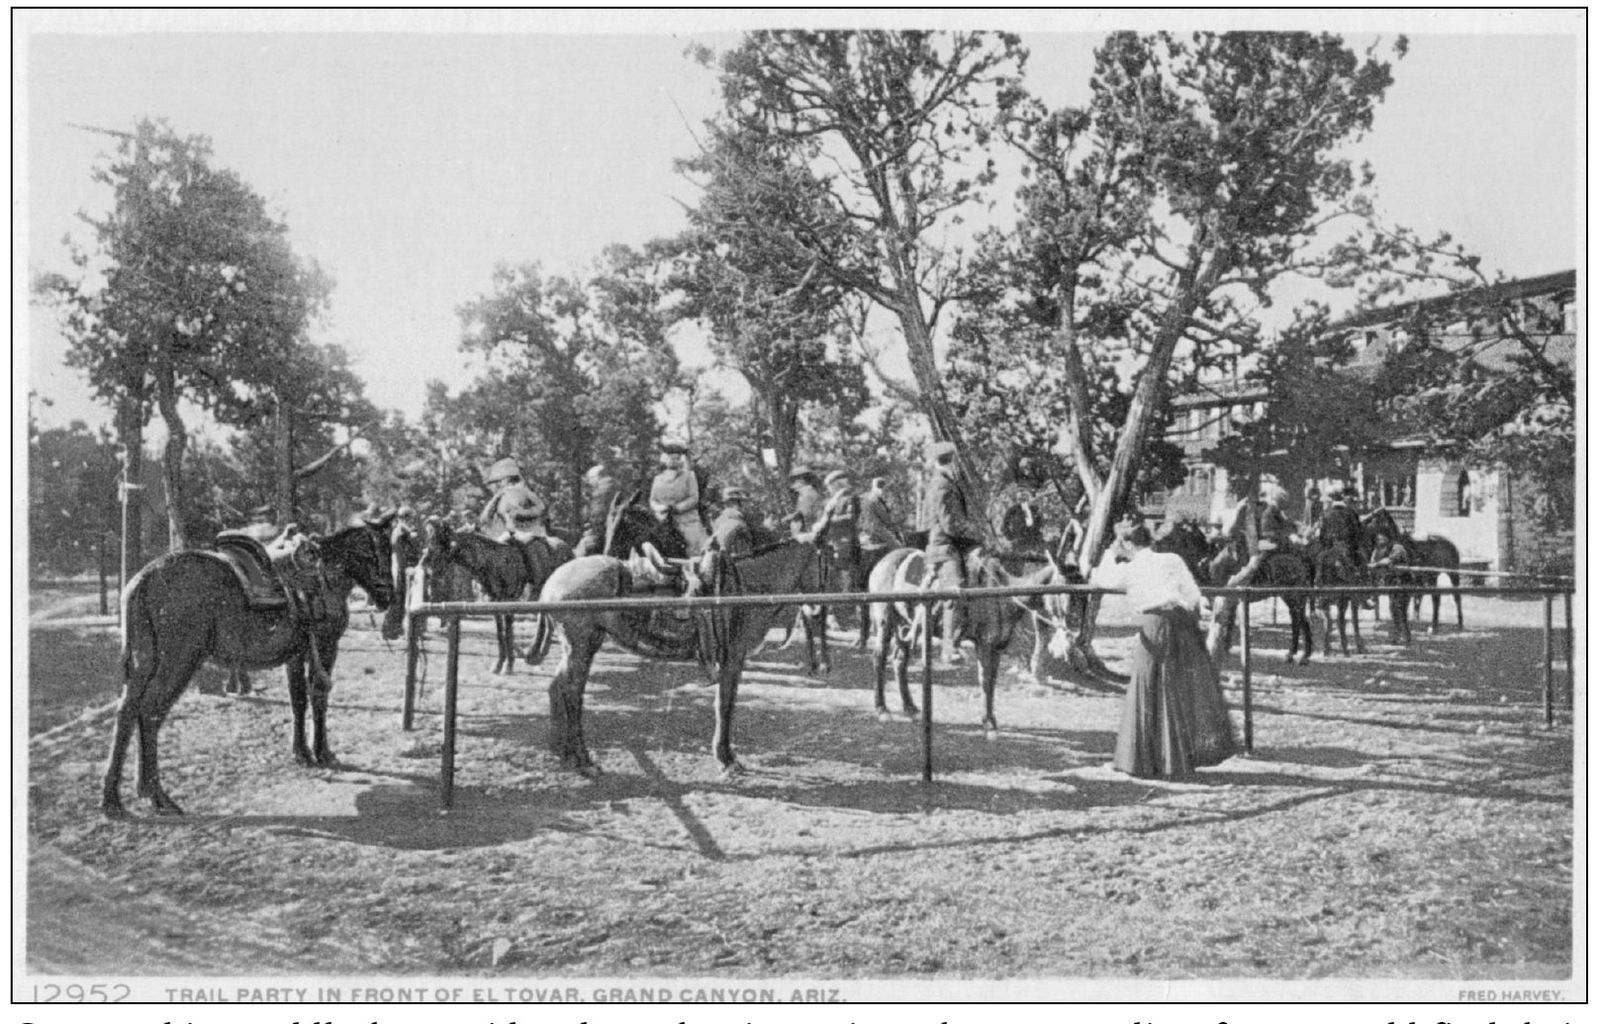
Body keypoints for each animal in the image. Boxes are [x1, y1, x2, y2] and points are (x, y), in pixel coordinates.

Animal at [100, 515, 400, 819]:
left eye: (391, 549)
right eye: (373, 552)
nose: (387, 596)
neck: (327, 575)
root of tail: (142, 581)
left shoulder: (296, 654)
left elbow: (298, 700)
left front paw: (301, 753)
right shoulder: (326, 646)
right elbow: (318, 697)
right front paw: (323, 753)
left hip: (144, 662)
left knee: (127, 712)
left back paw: (114, 799)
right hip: (179, 659)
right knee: (151, 711)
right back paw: (158, 796)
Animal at [422, 518, 572, 672]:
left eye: (441, 541)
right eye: (430, 539)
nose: (424, 564)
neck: (492, 563)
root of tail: (566, 548)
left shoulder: (509, 602)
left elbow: (508, 631)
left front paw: (508, 666)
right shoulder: (494, 603)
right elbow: (500, 632)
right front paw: (499, 664)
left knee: (544, 618)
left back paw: (536, 652)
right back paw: (536, 654)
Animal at [540, 540, 832, 780]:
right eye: (825, 566)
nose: (820, 609)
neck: (744, 588)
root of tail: (551, 584)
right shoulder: (732, 659)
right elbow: (725, 706)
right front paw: (726, 760)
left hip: (578, 647)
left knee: (557, 688)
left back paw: (562, 752)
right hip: (582, 646)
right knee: (572, 695)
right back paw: (583, 760)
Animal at [864, 547, 1075, 732]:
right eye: (1062, 591)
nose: (1070, 634)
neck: (1001, 596)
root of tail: (882, 562)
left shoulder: (996, 647)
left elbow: (991, 681)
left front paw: (989, 718)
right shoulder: (984, 644)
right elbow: (985, 680)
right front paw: (988, 721)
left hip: (904, 625)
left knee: (899, 660)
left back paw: (910, 707)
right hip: (884, 622)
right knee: (878, 658)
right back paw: (882, 709)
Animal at [1363, 505, 1465, 633]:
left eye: (1371, 517)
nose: (1361, 521)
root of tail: (1451, 544)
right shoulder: (1377, 579)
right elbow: (1379, 600)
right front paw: (1378, 623)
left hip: (1453, 575)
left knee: (1456, 597)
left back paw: (1457, 624)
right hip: (1432, 577)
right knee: (1436, 598)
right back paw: (1434, 626)